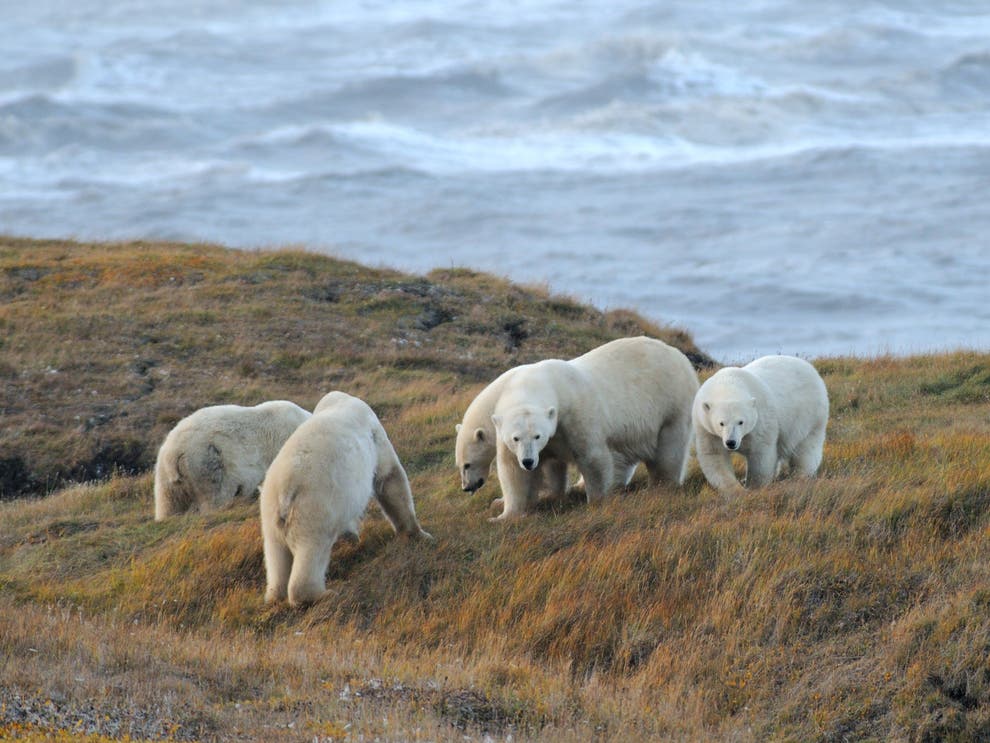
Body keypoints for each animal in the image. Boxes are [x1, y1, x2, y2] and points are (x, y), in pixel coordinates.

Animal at [260, 391, 432, 607]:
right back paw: (323, 594)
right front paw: (418, 534)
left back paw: (275, 595)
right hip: (313, 506)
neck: (340, 402)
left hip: (270, 514)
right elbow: (389, 478)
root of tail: (285, 490)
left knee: (276, 553)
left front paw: (352, 535)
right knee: (312, 548)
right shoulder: (375, 435)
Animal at [489, 336, 700, 520]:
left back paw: (660, 487)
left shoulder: (576, 414)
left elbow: (592, 457)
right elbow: (513, 472)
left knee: (668, 451)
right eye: (515, 438)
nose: (528, 461)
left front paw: (596, 503)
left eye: (537, 436)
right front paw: (503, 515)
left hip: (670, 404)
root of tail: (680, 356)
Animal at [692, 354, 829, 495]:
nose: (731, 442)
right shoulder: (706, 429)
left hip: (809, 415)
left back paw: (799, 477)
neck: (728, 383)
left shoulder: (761, 420)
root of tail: (811, 368)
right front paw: (735, 490)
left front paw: (753, 487)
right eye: (721, 423)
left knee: (805, 448)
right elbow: (715, 456)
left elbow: (760, 454)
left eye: (741, 422)